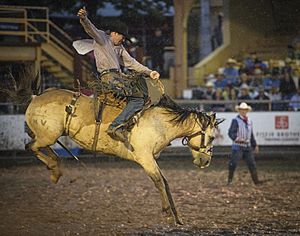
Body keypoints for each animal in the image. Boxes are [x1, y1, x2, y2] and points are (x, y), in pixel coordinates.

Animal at [3, 68, 224, 225]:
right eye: (212, 137)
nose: (205, 161)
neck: (159, 122)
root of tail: (35, 97)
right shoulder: (145, 158)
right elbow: (159, 182)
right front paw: (169, 215)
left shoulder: (152, 159)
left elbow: (165, 182)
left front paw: (178, 217)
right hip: (47, 135)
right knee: (30, 146)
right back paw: (54, 168)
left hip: (49, 136)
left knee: (41, 148)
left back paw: (55, 169)